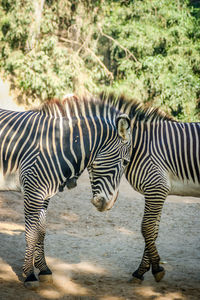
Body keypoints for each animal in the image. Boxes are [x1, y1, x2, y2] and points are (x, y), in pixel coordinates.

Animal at [0, 96, 131, 288]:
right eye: (126, 162)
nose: (107, 205)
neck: (58, 146)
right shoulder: (33, 192)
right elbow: (31, 234)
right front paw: (30, 274)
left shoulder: (44, 195)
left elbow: (41, 231)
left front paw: (44, 270)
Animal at [101, 93, 200, 284]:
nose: (105, 204)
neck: (140, 145)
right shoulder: (158, 191)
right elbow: (153, 230)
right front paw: (145, 269)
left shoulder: (156, 188)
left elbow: (146, 228)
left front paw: (155, 269)